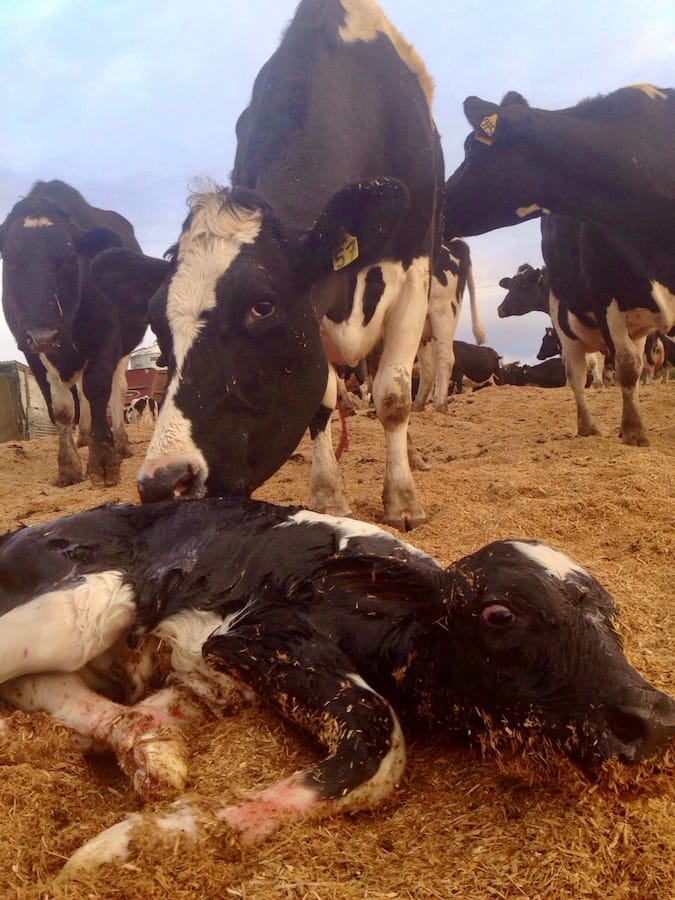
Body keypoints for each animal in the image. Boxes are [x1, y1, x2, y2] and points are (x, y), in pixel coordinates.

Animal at [0, 181, 147, 486]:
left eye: (68, 258)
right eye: (10, 259)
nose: (44, 334)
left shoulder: (106, 336)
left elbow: (98, 389)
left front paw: (103, 461)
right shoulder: (31, 349)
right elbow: (62, 407)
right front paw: (68, 467)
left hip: (122, 351)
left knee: (116, 392)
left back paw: (121, 443)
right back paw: (85, 437)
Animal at [0, 496, 672, 876]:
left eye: (613, 620)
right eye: (500, 614)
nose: (653, 719)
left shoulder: (225, 664)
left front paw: (152, 760)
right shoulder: (256, 632)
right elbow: (379, 740)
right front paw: (127, 847)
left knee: (43, 685)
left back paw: (147, 748)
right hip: (85, 600)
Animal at [91, 0, 448, 532]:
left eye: (262, 306)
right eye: (157, 327)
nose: (163, 481)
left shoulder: (413, 270)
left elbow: (393, 396)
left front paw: (402, 499)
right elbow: (320, 401)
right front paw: (327, 494)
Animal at [412, 236, 486, 412]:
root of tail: (456, 243)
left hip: (444, 312)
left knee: (445, 357)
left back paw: (440, 404)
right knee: (429, 365)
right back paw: (418, 404)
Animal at [444, 86, 675, 444]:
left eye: (471, 147)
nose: (439, 199)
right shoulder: (606, 301)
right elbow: (623, 368)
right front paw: (634, 432)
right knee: (579, 373)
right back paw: (588, 426)